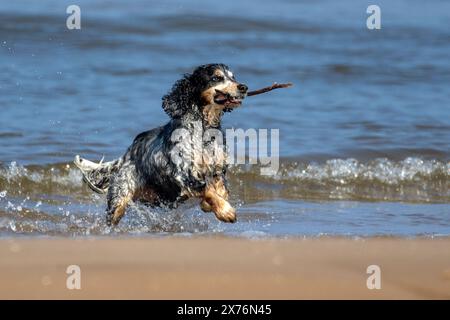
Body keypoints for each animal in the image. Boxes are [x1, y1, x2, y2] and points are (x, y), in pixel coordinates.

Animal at [75, 63, 248, 225]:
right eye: (216, 78)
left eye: (233, 77)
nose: (244, 87)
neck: (204, 130)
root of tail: (128, 153)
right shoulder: (183, 174)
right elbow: (207, 190)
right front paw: (226, 212)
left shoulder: (217, 170)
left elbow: (221, 190)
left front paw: (210, 206)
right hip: (120, 197)